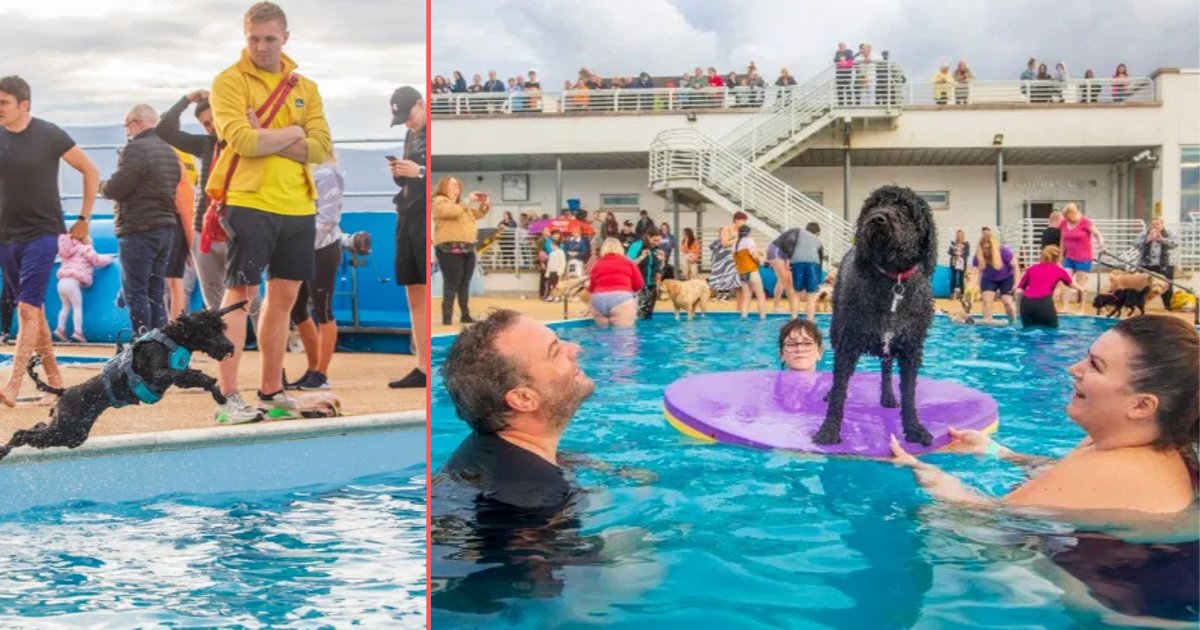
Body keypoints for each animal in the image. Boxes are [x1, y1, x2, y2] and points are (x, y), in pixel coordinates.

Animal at [0, 302, 246, 458]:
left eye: (221, 327)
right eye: (208, 329)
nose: (229, 347)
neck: (172, 339)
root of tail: (64, 391)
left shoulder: (177, 379)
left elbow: (198, 379)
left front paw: (220, 396)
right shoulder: (161, 374)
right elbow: (193, 374)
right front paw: (215, 387)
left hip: (70, 432)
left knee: (37, 428)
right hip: (68, 429)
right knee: (21, 434)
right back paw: (3, 451)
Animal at [816, 184, 936, 444]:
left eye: (905, 208)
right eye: (873, 205)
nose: (878, 218)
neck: (892, 280)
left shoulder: (911, 348)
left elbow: (909, 393)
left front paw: (914, 428)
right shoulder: (848, 344)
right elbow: (839, 388)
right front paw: (829, 429)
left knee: (886, 367)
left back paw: (888, 396)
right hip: (836, 330)